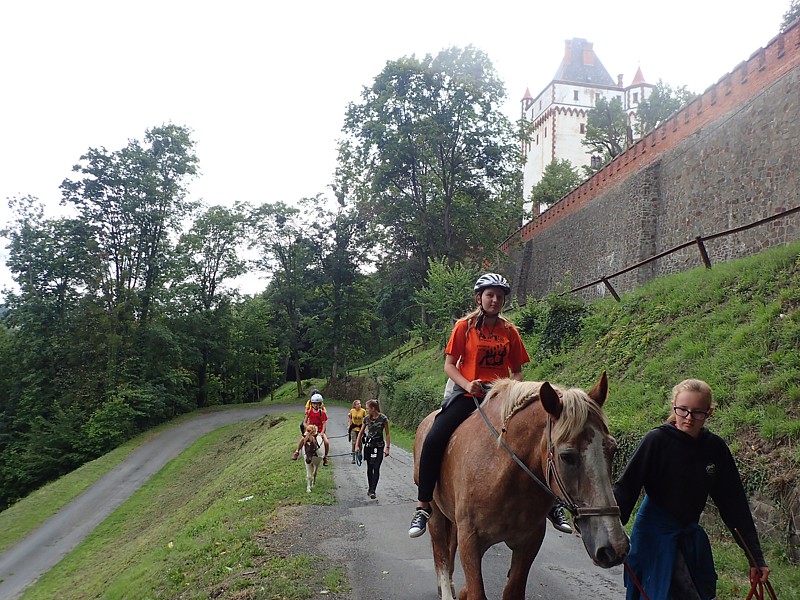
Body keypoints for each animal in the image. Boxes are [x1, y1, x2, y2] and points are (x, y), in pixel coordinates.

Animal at [412, 372, 632, 596]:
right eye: (566, 456)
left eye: (613, 449)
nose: (615, 546)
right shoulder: (470, 542)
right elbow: (475, 591)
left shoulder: (529, 542)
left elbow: (512, 590)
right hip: (436, 514)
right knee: (440, 554)